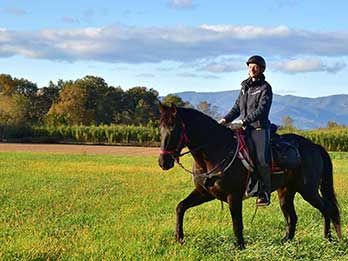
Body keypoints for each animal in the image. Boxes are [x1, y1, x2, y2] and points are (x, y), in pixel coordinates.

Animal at [158, 101, 342, 248]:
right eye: (160, 129)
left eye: (173, 129)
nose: (163, 162)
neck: (215, 150)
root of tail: (314, 146)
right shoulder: (205, 193)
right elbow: (180, 207)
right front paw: (179, 238)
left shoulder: (233, 196)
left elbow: (237, 224)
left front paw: (240, 247)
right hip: (286, 192)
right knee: (293, 218)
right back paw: (286, 242)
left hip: (308, 190)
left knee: (327, 209)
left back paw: (328, 239)